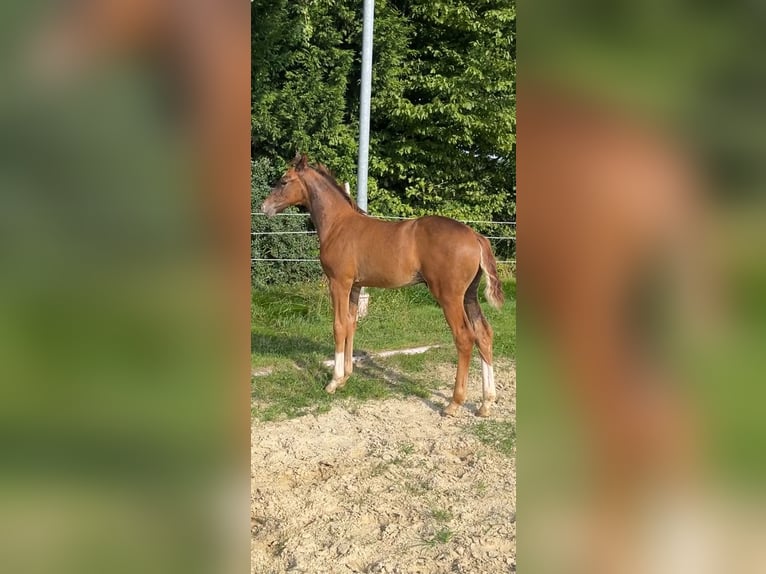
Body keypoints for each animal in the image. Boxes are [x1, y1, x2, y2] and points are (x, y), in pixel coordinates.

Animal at [260, 155, 508, 416]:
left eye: (284, 180)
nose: (264, 207)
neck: (338, 224)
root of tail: (475, 236)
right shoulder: (355, 286)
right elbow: (351, 324)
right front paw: (346, 377)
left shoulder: (338, 282)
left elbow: (338, 326)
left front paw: (333, 381)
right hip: (469, 295)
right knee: (484, 334)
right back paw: (486, 403)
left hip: (449, 296)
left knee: (464, 337)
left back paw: (454, 403)